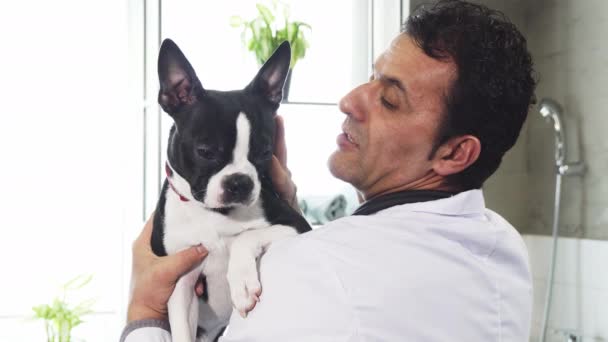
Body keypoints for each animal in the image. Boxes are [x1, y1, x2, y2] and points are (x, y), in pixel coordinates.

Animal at [152, 40, 314, 342]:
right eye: (205, 151)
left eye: (264, 152)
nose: (240, 182)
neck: (213, 213)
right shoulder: (179, 279)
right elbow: (181, 330)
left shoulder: (297, 225)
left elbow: (245, 237)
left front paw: (242, 284)